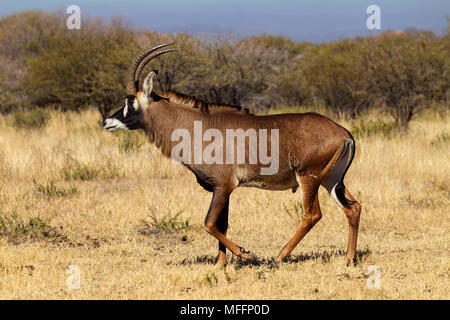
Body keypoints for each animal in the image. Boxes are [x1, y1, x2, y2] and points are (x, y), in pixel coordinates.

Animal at [103, 44, 362, 264]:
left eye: (130, 102)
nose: (107, 122)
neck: (198, 127)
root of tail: (343, 133)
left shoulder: (223, 186)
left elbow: (209, 223)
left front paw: (245, 253)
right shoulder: (223, 189)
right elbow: (221, 224)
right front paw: (220, 264)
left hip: (309, 178)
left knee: (312, 214)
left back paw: (280, 256)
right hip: (331, 180)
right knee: (353, 207)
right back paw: (349, 258)